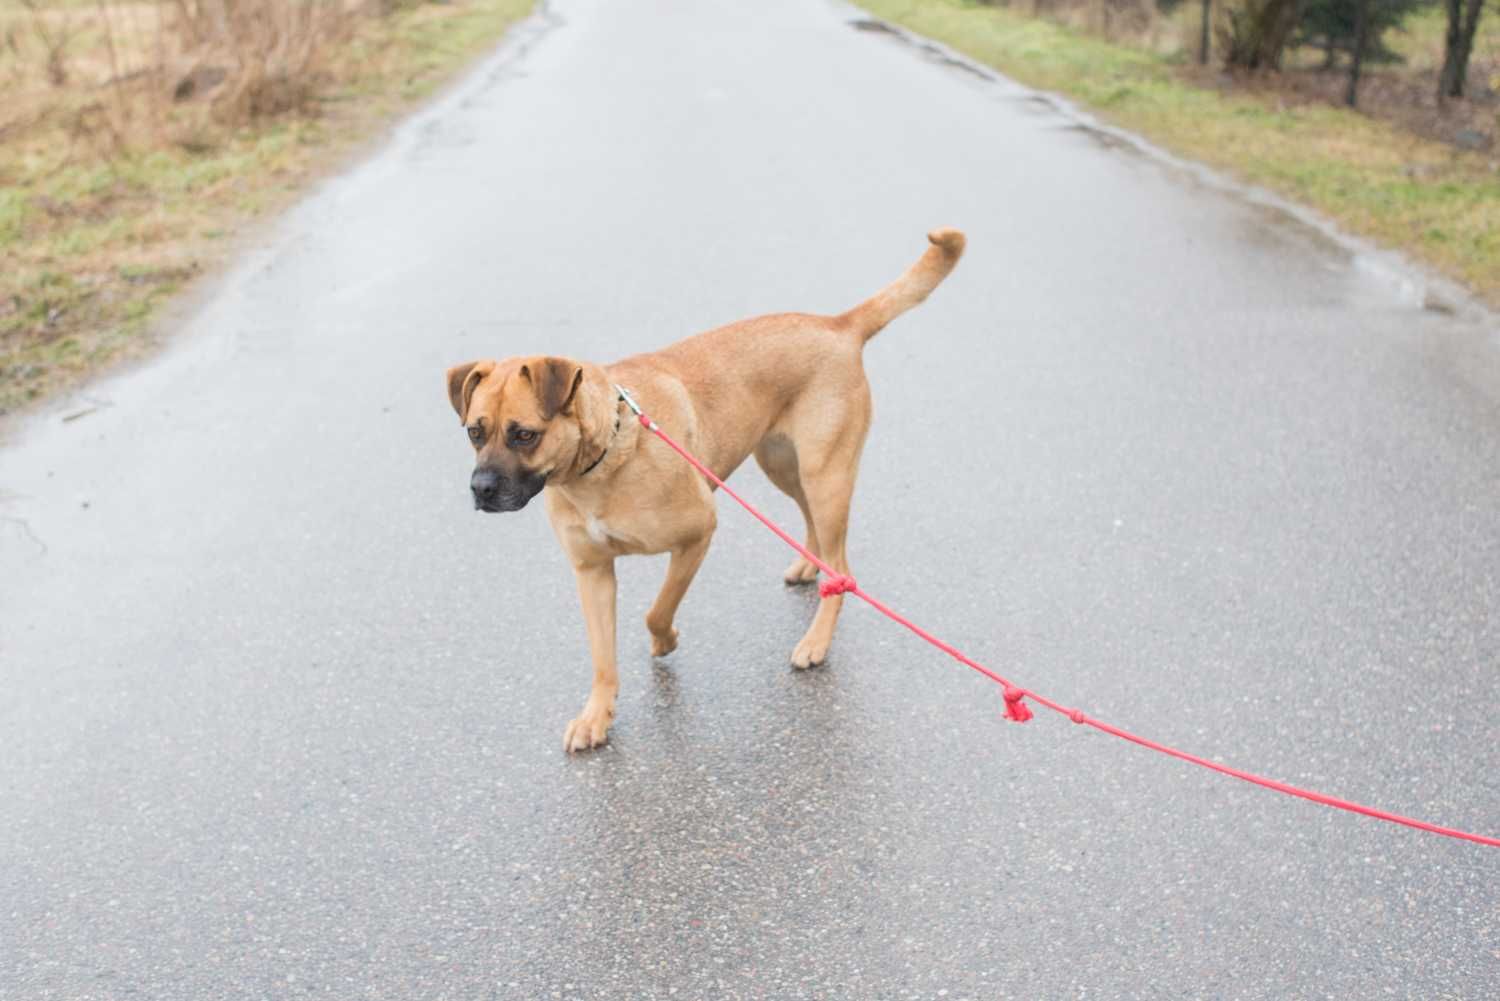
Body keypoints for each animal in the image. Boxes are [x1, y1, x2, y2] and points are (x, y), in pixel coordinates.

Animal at [444, 231, 966, 750]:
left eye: (523, 435)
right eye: (474, 432)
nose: (480, 489)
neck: (605, 455)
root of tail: (836, 325)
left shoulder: (697, 535)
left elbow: (657, 611)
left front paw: (665, 641)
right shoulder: (592, 572)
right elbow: (602, 658)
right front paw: (597, 716)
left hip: (825, 475)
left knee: (843, 568)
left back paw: (816, 640)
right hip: (784, 465)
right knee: (815, 530)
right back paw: (809, 565)